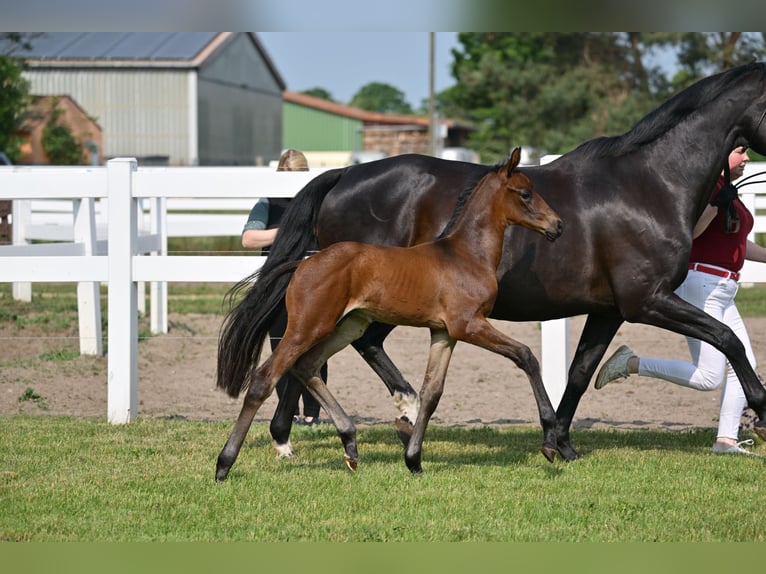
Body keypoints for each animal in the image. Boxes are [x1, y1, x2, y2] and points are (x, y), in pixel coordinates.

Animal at [215, 148, 563, 481]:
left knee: (307, 366)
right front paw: (550, 442)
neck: (465, 254)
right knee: (265, 378)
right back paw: (224, 465)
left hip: (348, 326)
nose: (557, 225)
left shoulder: (444, 333)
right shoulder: (468, 325)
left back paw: (350, 444)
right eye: (525, 193)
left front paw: (414, 461)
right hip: (308, 326)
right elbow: (526, 355)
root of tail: (304, 262)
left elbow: (431, 393)